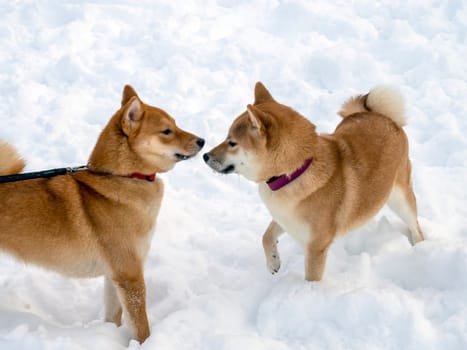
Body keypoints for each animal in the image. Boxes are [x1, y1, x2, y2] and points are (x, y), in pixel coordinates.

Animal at [0, 86, 205, 344]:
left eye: (176, 125)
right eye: (167, 131)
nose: (202, 141)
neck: (122, 176)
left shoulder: (114, 275)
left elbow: (113, 315)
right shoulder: (130, 275)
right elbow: (141, 326)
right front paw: (145, 344)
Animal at [205, 82, 424, 282]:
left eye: (232, 143)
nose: (206, 156)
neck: (295, 172)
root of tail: (384, 117)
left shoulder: (315, 247)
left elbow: (311, 277)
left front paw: (309, 294)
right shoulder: (285, 218)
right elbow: (266, 236)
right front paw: (273, 262)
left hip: (400, 197)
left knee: (415, 226)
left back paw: (420, 248)